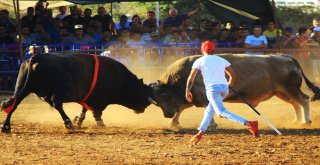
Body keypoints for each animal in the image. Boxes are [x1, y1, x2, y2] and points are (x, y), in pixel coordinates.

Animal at [0, 53, 155, 133]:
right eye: (141, 92)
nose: (144, 107)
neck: (119, 78)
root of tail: (37, 57)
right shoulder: (99, 101)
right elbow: (96, 112)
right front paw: (99, 123)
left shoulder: (88, 98)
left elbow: (84, 108)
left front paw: (79, 119)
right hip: (61, 88)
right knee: (57, 103)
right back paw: (68, 123)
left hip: (22, 88)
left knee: (14, 103)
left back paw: (6, 126)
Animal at [150, 54, 320, 129]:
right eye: (157, 101)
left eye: (164, 95)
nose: (167, 114)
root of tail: (287, 57)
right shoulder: (191, 97)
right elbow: (181, 108)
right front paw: (173, 122)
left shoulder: (203, 96)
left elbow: (205, 109)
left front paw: (211, 124)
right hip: (282, 92)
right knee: (295, 104)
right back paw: (296, 120)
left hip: (290, 89)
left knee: (303, 100)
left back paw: (305, 121)